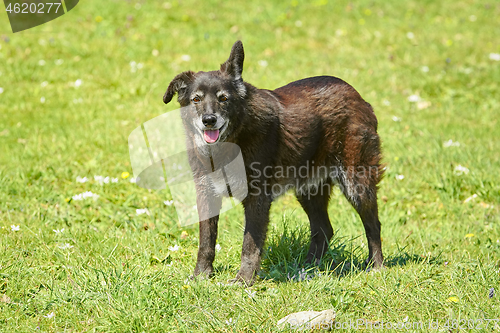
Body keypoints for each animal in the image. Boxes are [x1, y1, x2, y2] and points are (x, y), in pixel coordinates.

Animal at [162, 40, 384, 286]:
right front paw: (201, 276)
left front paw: (244, 280)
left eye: (223, 98)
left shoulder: (257, 199)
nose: (209, 120)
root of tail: (360, 98)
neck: (228, 145)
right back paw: (305, 269)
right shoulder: (206, 195)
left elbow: (250, 245)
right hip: (309, 190)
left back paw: (376, 267)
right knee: (324, 230)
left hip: (356, 183)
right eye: (196, 99)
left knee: (373, 224)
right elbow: (206, 242)